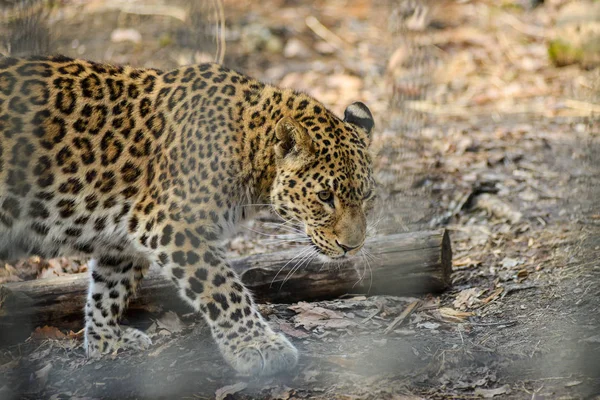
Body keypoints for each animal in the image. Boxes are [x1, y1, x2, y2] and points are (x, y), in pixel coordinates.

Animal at [0, 54, 376, 376]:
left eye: (366, 195)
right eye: (325, 197)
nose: (353, 247)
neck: (250, 145)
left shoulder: (124, 236)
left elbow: (108, 288)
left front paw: (105, 341)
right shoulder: (171, 223)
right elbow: (224, 288)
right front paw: (258, 345)